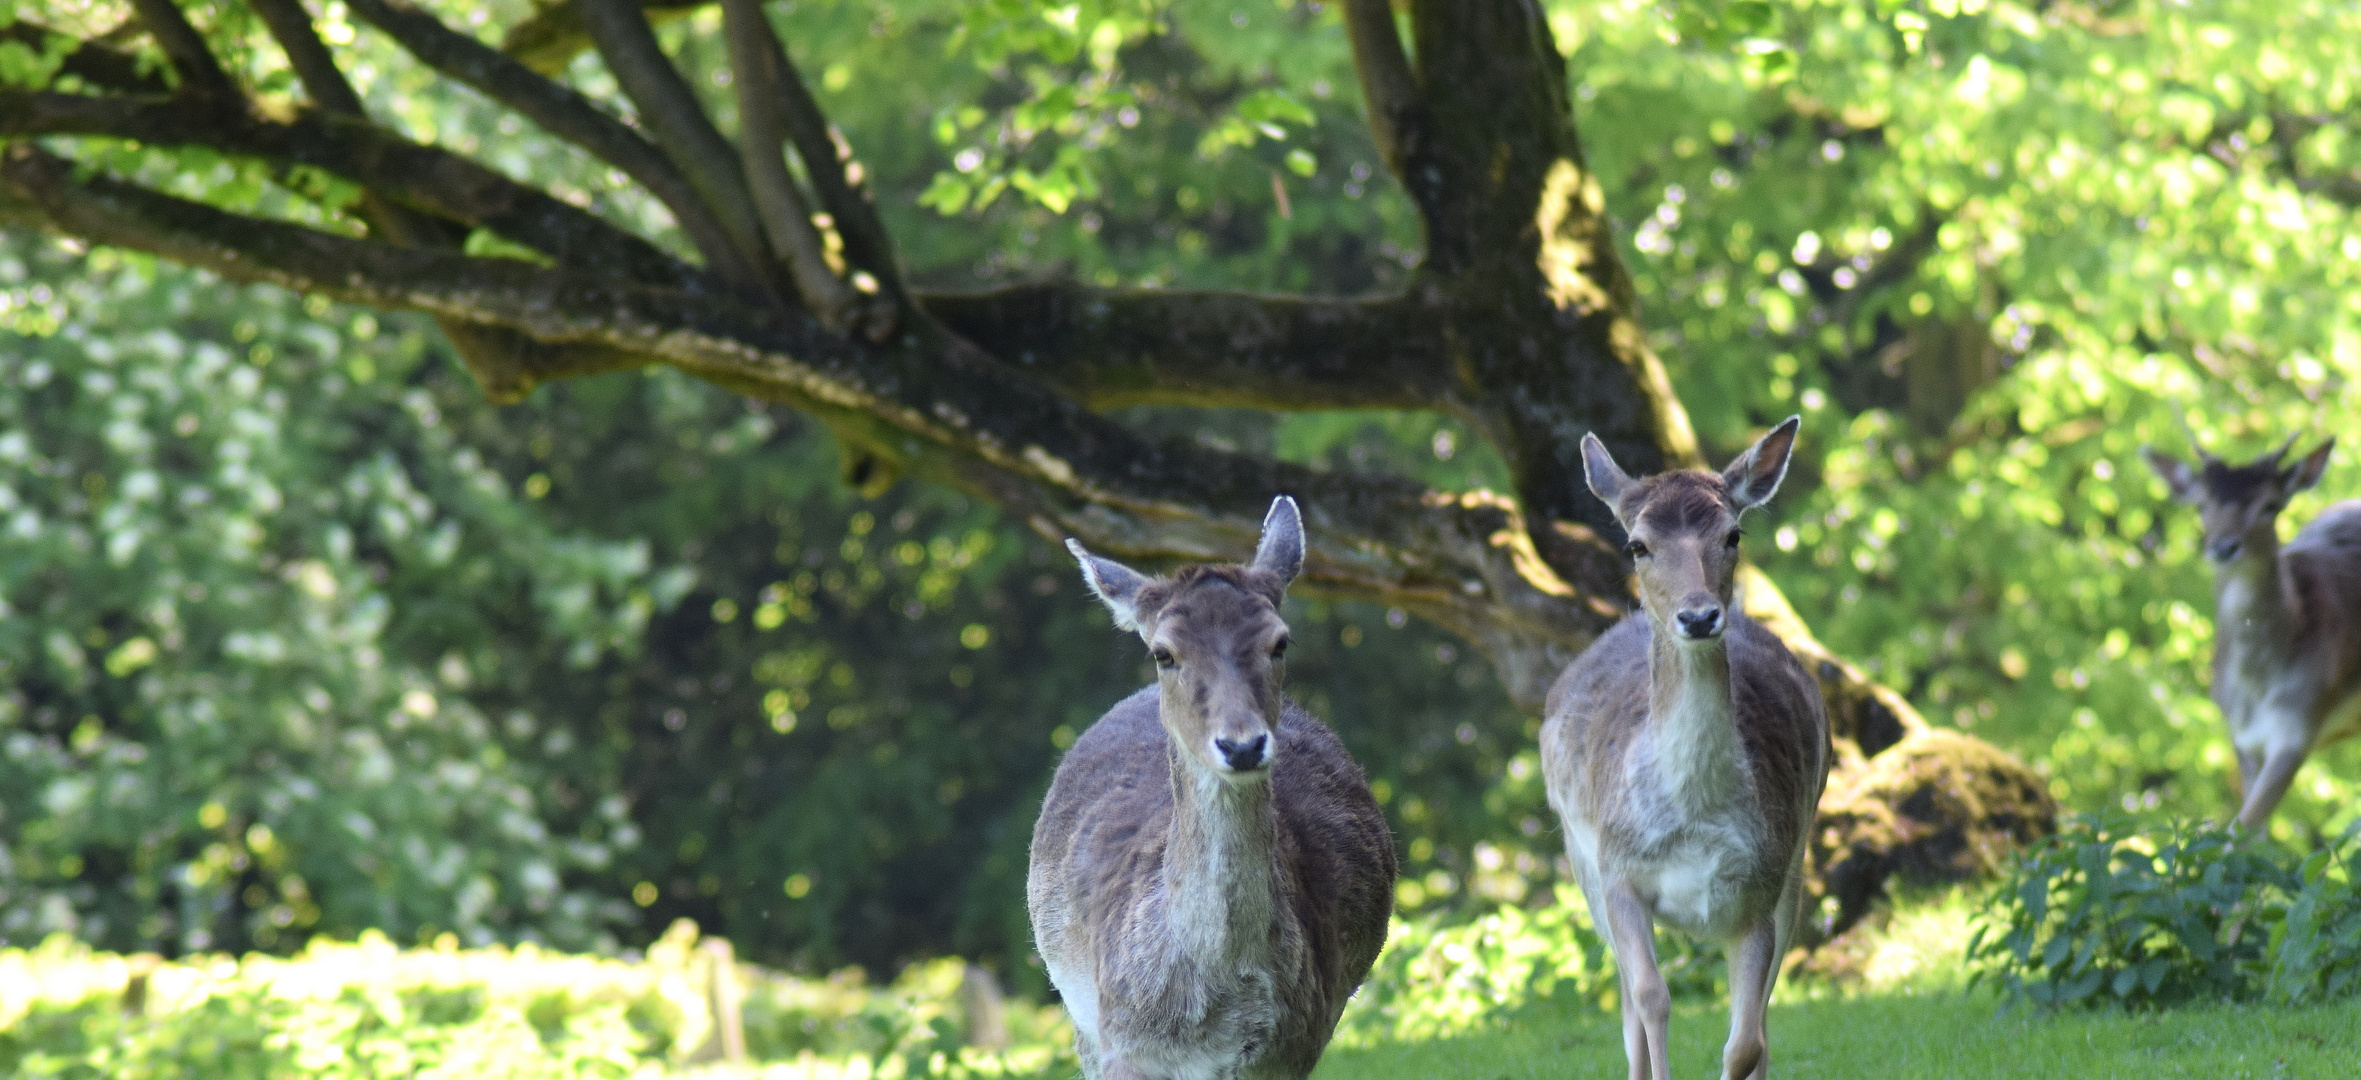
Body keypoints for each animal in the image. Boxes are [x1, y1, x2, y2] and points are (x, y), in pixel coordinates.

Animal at [1539, 413, 1832, 1077]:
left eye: (1733, 534)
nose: (1699, 617)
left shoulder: (1759, 888)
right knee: (1627, 1003)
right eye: (1637, 545)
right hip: (1579, 859)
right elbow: (1651, 999)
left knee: (1763, 1017)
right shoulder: (1618, 872)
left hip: (1799, 861)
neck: (1694, 819)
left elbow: (1747, 1037)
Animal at [2143, 427, 2361, 827]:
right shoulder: (2241, 738)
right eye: (2200, 505)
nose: (2225, 547)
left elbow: (2240, 829)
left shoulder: (2300, 724)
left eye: (2271, 505)